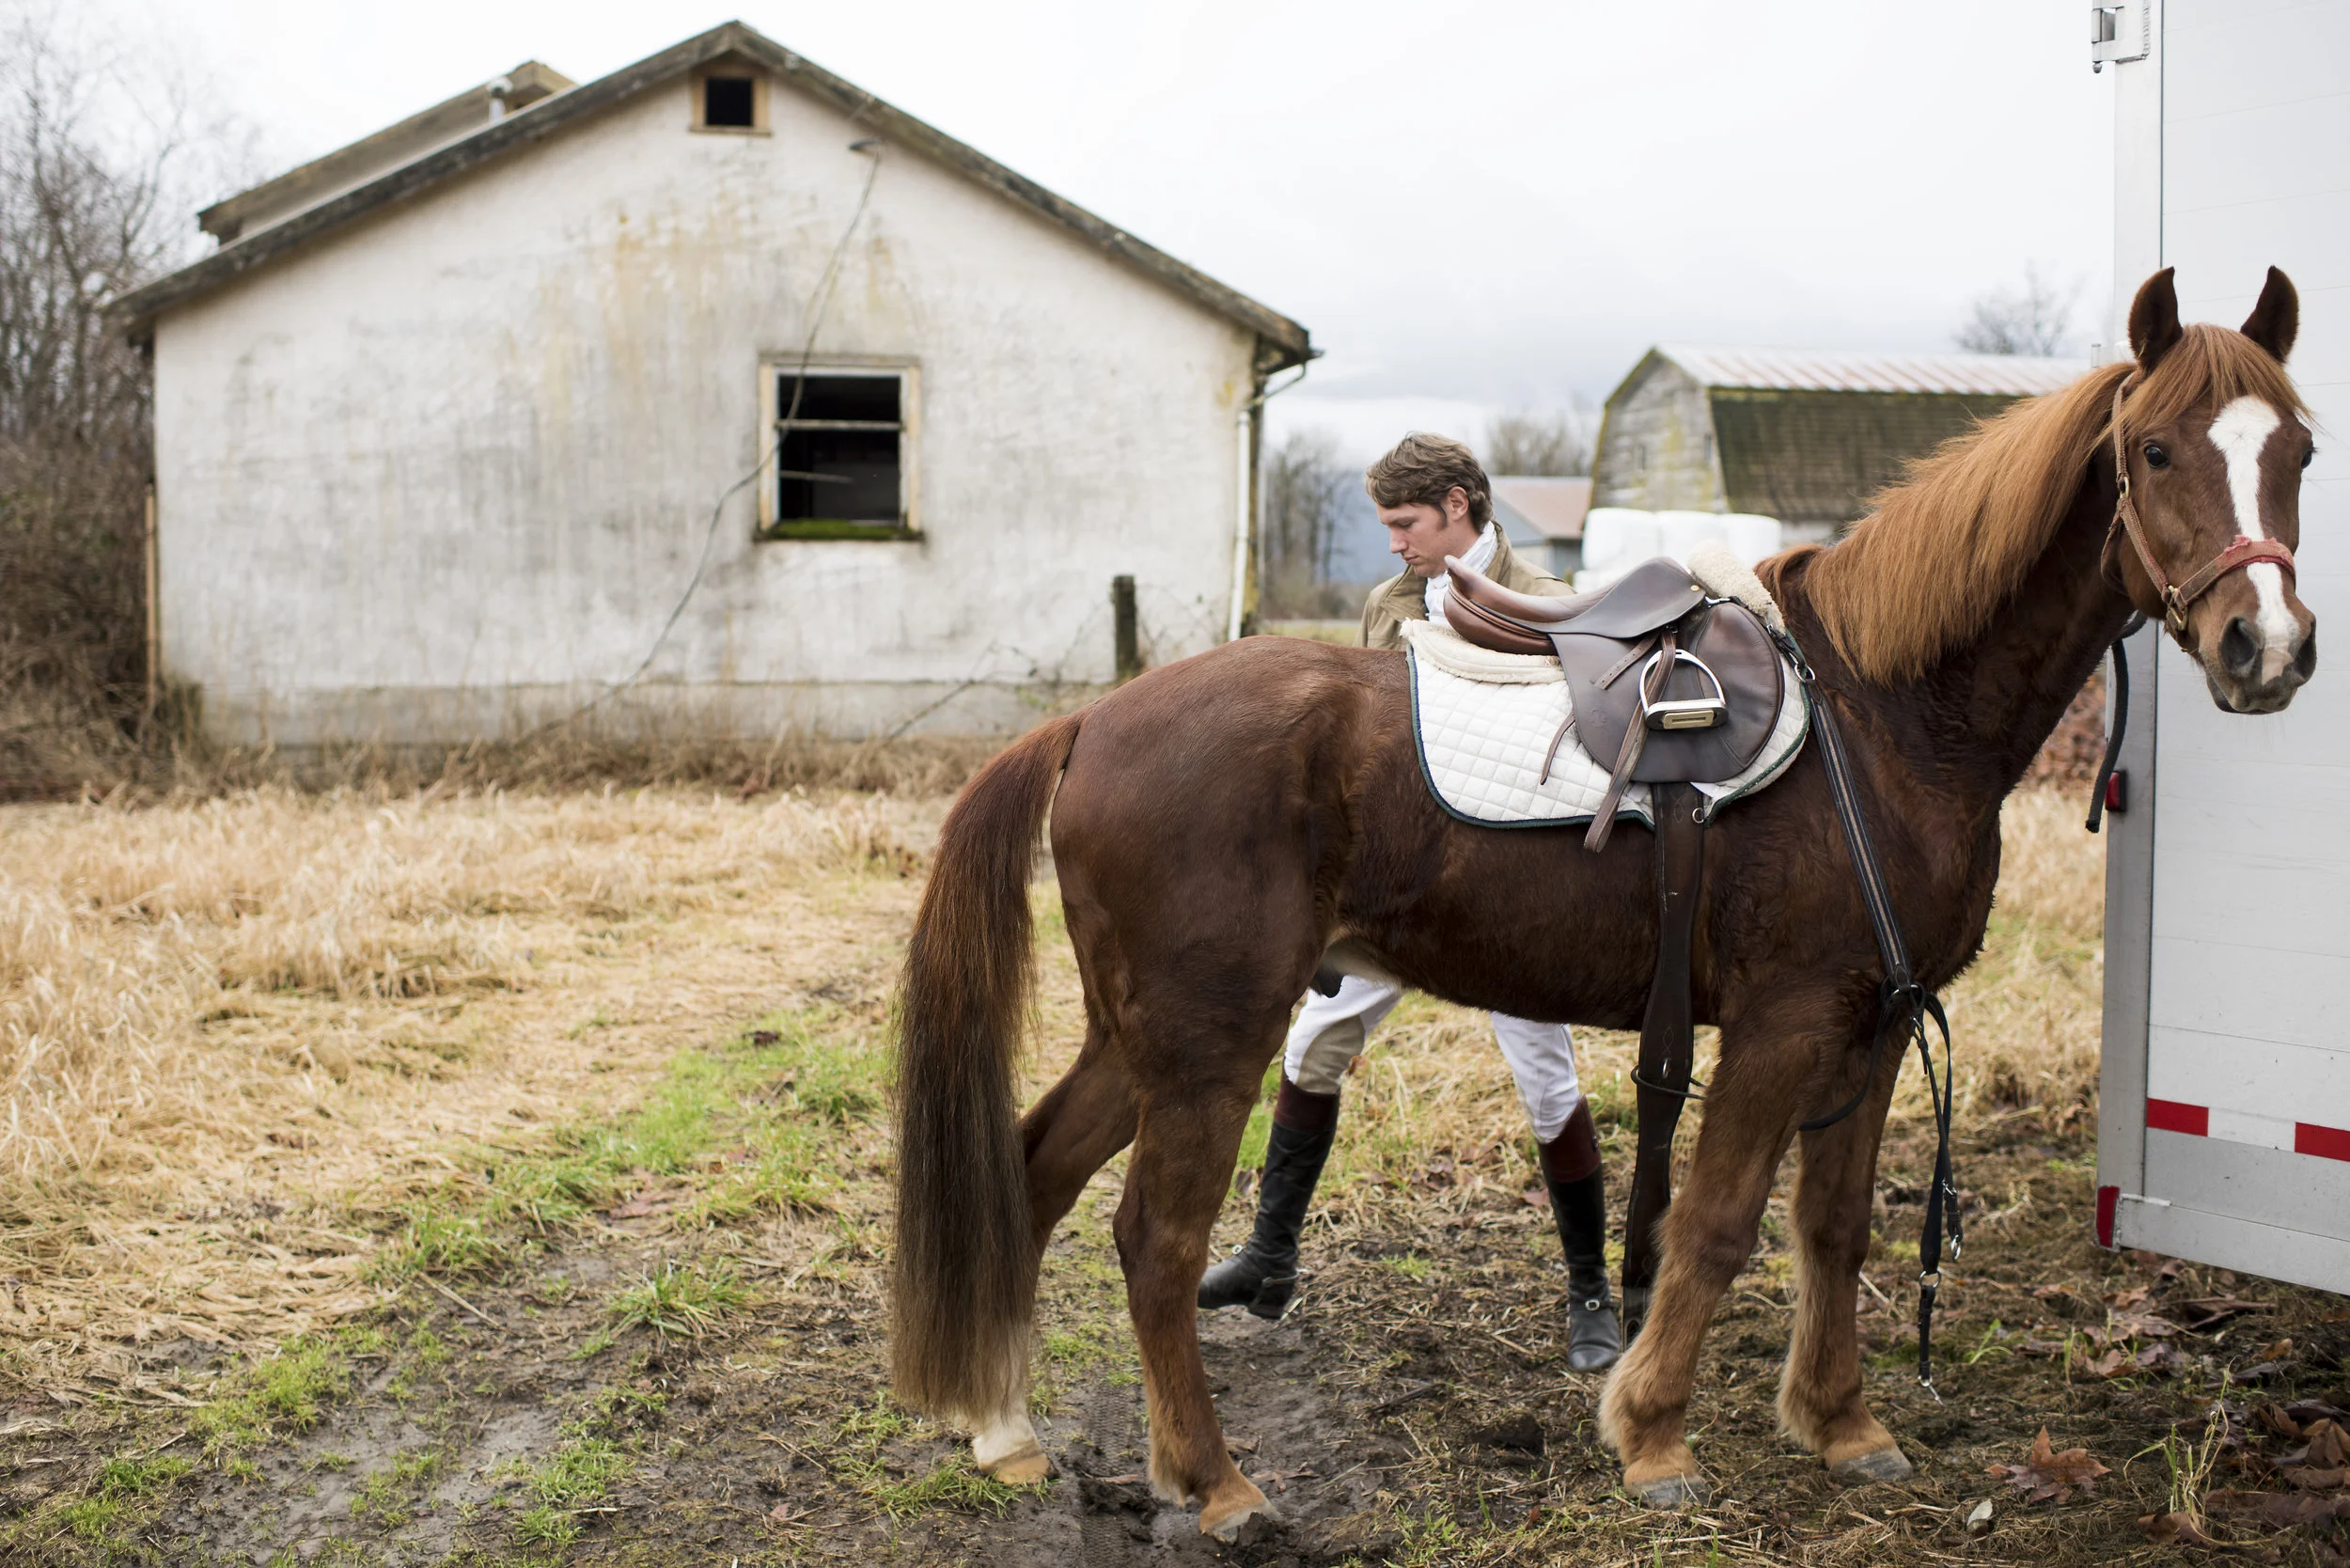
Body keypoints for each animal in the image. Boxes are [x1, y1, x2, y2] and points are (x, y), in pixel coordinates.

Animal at [888, 267, 2318, 1537]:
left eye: (2300, 450)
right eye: (2153, 451)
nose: (2271, 649)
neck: (1881, 715)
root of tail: (1090, 722)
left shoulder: (1872, 1024)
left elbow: (1835, 1224)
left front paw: (1842, 1423)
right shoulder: (1787, 1025)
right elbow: (1719, 1223)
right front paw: (1652, 1435)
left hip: (1140, 1035)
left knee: (1035, 1170)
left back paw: (1005, 1429)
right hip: (1207, 1039)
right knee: (1156, 1239)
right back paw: (1217, 1484)